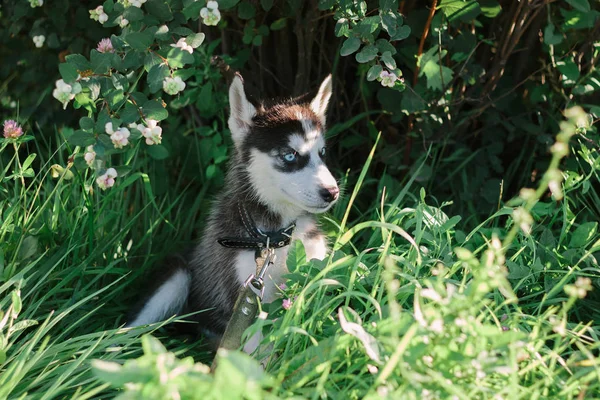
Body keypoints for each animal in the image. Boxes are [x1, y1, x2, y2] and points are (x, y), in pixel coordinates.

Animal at [127, 73, 338, 352]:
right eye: (290, 155)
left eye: (322, 153)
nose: (332, 192)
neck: (275, 236)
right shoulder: (245, 295)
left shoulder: (312, 276)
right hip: (178, 277)